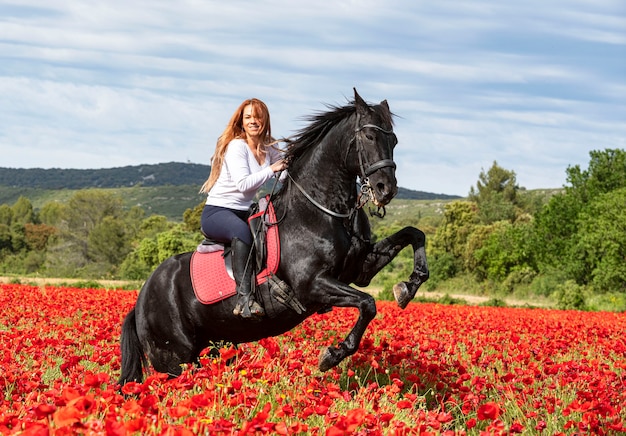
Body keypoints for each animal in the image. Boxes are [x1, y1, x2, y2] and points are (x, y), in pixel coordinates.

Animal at [117, 89, 428, 384]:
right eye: (368, 135)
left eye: (394, 140)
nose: (386, 188)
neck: (321, 210)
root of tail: (140, 301)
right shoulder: (312, 284)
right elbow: (368, 303)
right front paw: (332, 354)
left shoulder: (359, 269)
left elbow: (415, 235)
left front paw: (407, 288)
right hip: (174, 362)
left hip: (215, 349)